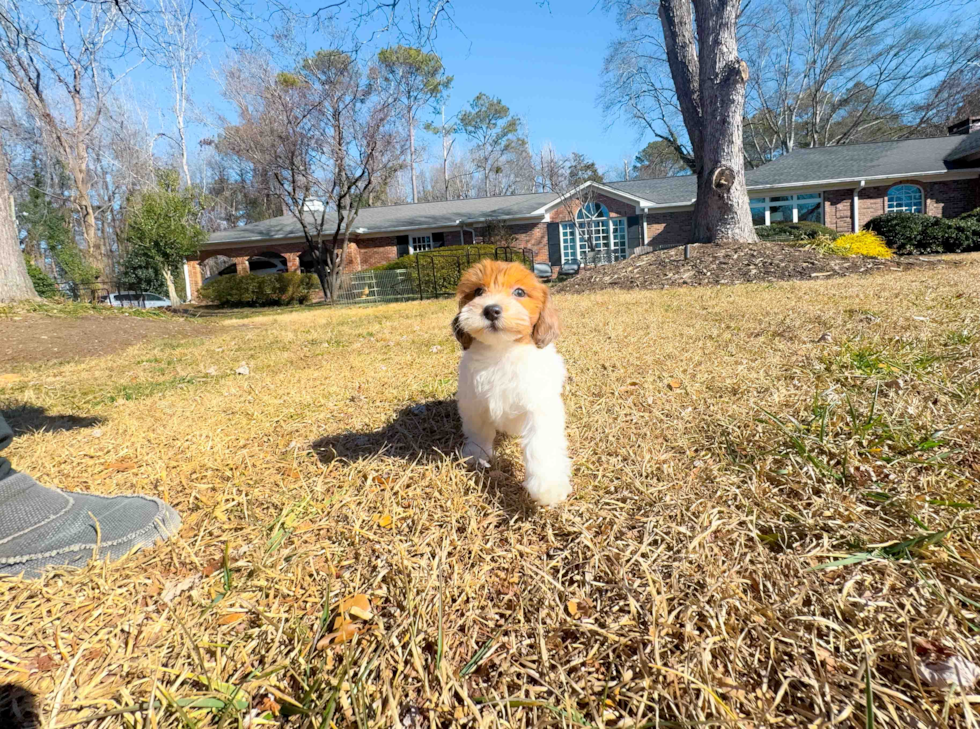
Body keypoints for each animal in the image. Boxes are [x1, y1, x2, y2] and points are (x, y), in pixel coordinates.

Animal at [452, 262, 576, 506]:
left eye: (519, 292)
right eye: (478, 291)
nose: (491, 310)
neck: (502, 350)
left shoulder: (539, 407)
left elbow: (541, 443)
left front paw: (548, 486)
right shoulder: (474, 401)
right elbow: (478, 430)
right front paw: (476, 454)